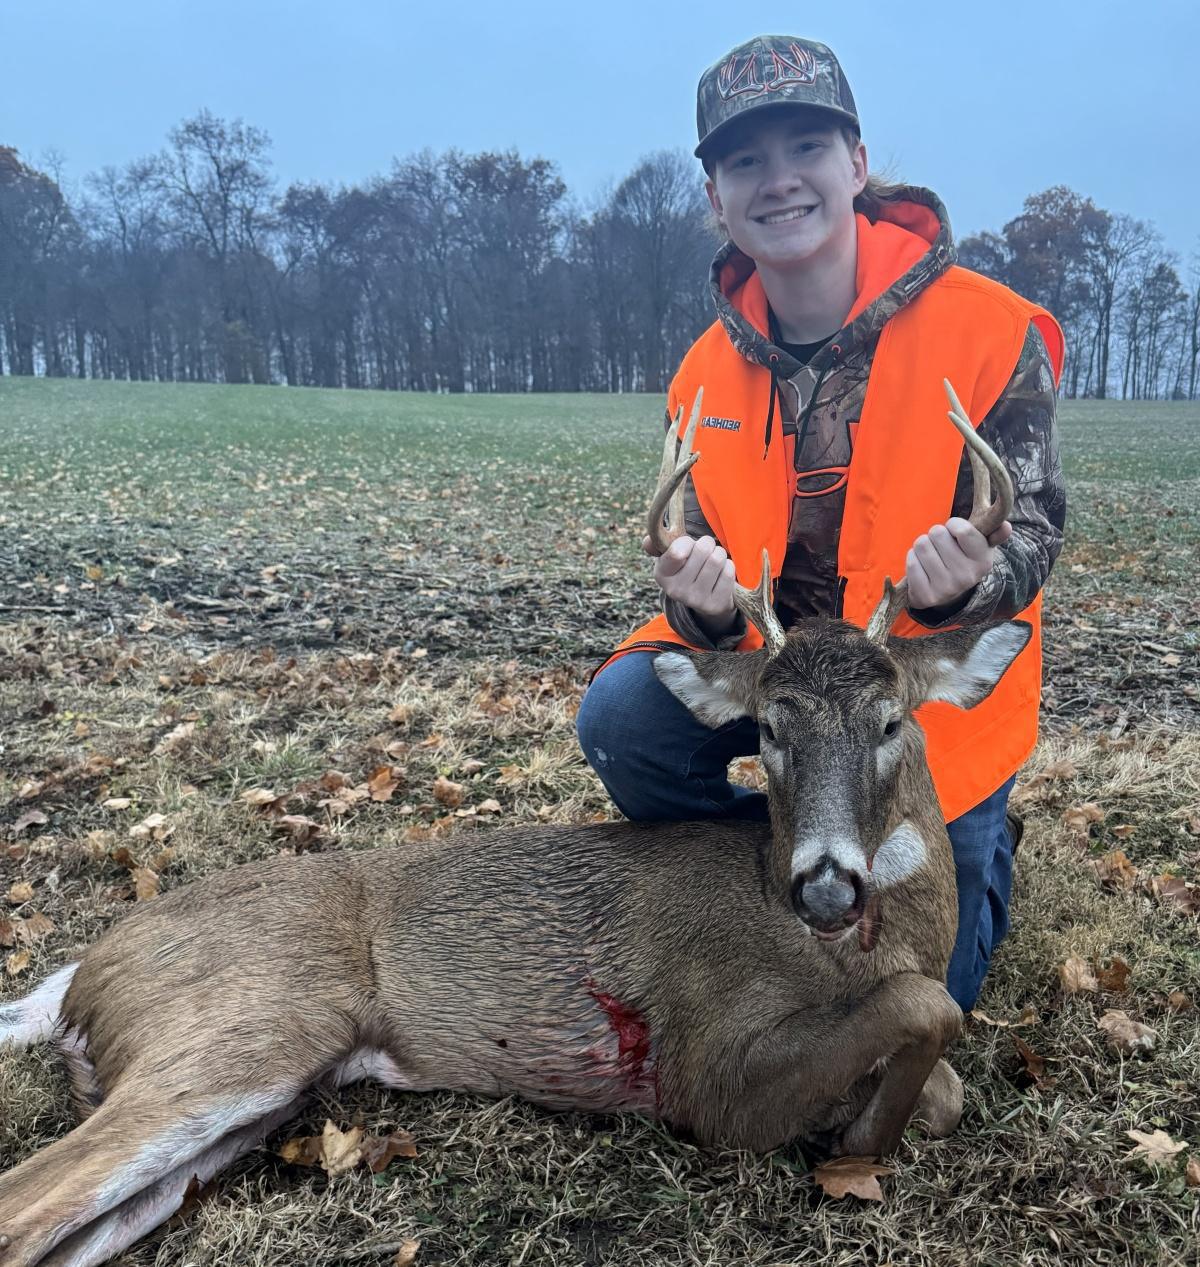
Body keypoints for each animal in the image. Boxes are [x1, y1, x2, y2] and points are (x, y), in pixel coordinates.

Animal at [0, 380, 1031, 1267]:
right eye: (768, 730)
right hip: (241, 1024)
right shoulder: (708, 1067)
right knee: (26, 1204)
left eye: (891, 720)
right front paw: (856, 1138)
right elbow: (925, 1010)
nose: (824, 882)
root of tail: (80, 975)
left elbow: (946, 1072)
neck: (850, 948)